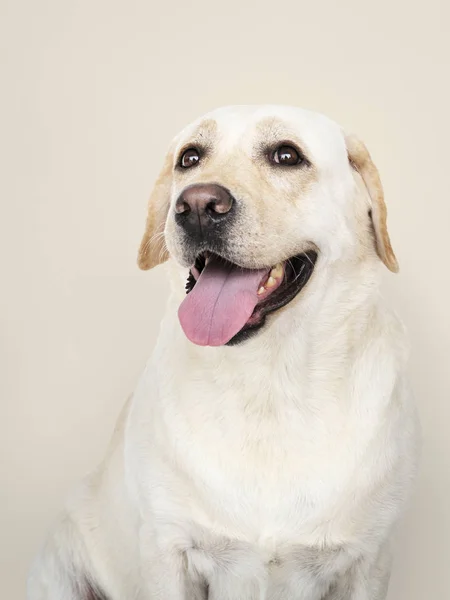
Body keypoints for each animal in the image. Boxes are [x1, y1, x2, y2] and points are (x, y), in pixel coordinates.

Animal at [28, 105, 420, 596]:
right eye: (190, 158)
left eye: (287, 155)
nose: (197, 206)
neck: (268, 384)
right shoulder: (167, 550)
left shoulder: (369, 559)